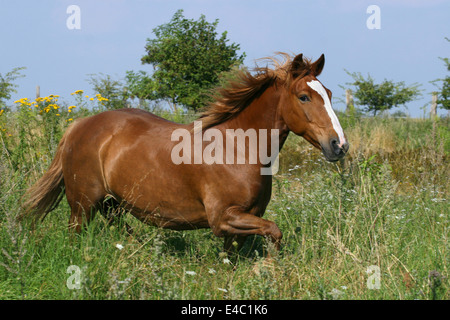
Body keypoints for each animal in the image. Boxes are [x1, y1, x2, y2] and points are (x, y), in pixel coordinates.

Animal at [20, 53, 348, 256]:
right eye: (303, 97)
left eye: (330, 94)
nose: (339, 145)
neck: (238, 150)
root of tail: (79, 125)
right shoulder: (223, 218)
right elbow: (275, 232)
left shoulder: (243, 221)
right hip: (82, 206)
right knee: (76, 237)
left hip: (112, 203)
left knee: (122, 229)